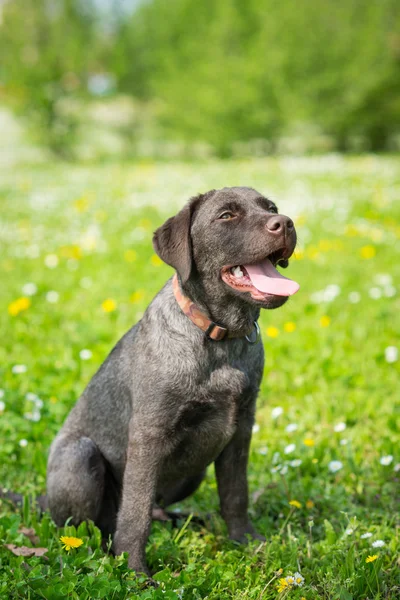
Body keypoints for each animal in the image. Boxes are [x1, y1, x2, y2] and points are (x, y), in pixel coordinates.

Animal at [45, 185, 298, 576]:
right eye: (226, 215)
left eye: (271, 208)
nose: (284, 223)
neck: (218, 339)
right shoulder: (149, 433)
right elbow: (134, 513)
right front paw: (135, 571)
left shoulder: (240, 429)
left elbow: (235, 495)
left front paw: (246, 541)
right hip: (80, 457)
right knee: (86, 527)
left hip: (195, 470)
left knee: (155, 507)